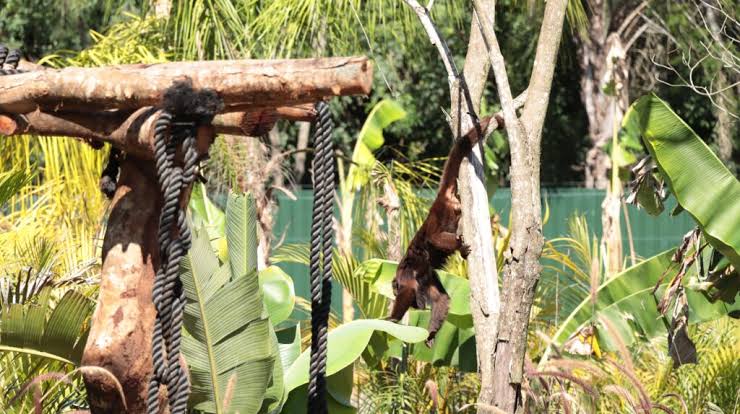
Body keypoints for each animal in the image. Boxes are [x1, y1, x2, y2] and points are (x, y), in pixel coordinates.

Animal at [388, 114, 496, 347]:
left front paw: (391, 319)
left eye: (395, 288)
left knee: (433, 237)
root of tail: (439, 199)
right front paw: (430, 335)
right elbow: (441, 300)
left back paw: (459, 244)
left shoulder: (406, 275)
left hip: (443, 214)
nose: (393, 290)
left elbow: (408, 291)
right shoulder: (428, 277)